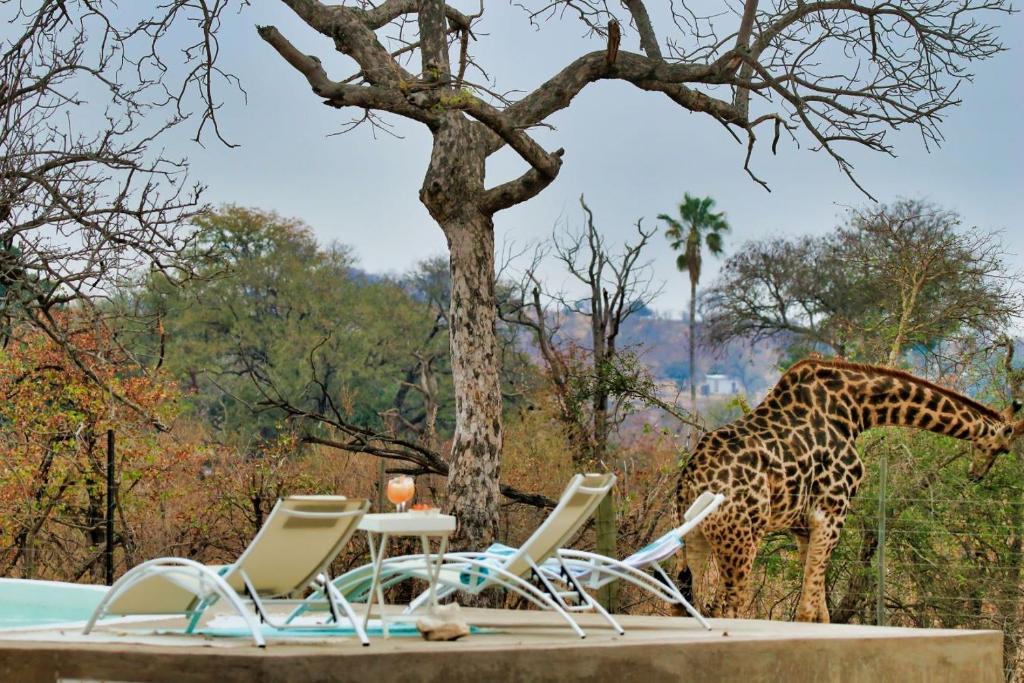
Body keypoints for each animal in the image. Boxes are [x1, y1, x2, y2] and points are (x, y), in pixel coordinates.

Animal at [675, 360, 1019, 622]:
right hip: (741, 537)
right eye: (1004, 448)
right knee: (725, 605)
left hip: (693, 538)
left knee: (685, 602)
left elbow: (820, 611)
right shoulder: (831, 514)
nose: (976, 475)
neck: (856, 410)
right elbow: (808, 611)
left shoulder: (803, 527)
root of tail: (690, 481)